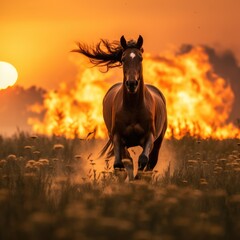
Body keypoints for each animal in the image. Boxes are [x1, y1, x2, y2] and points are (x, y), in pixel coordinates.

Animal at [72, 35, 168, 178]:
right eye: (123, 59)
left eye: (140, 58)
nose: (132, 83)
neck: (133, 108)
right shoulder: (117, 138)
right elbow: (120, 165)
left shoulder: (149, 136)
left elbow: (143, 160)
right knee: (128, 161)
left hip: (158, 141)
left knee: (150, 163)